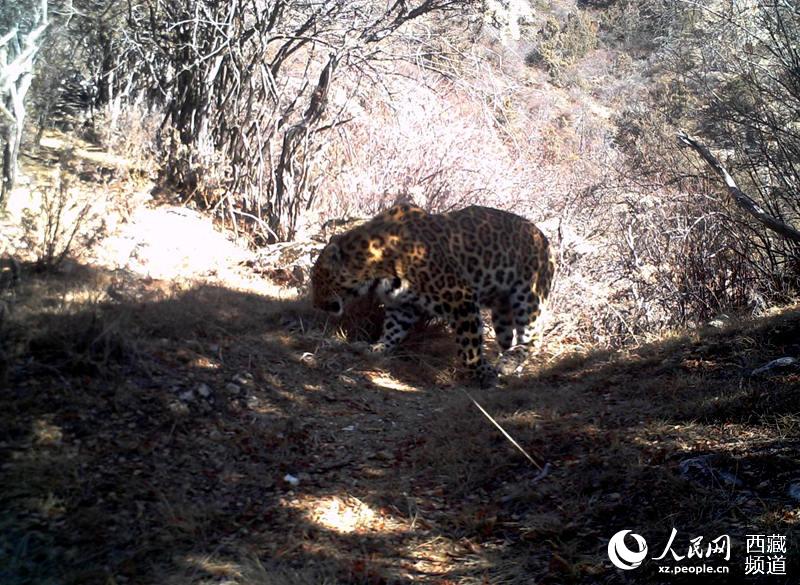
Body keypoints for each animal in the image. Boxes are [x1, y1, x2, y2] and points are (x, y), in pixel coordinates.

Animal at [310, 203, 556, 386]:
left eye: (317, 279)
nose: (315, 304)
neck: (376, 266)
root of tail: (544, 238)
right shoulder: (403, 305)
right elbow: (393, 329)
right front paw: (377, 348)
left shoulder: (461, 297)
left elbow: (469, 348)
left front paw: (482, 372)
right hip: (502, 311)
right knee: (510, 339)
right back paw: (512, 367)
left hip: (529, 297)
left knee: (534, 338)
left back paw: (506, 364)